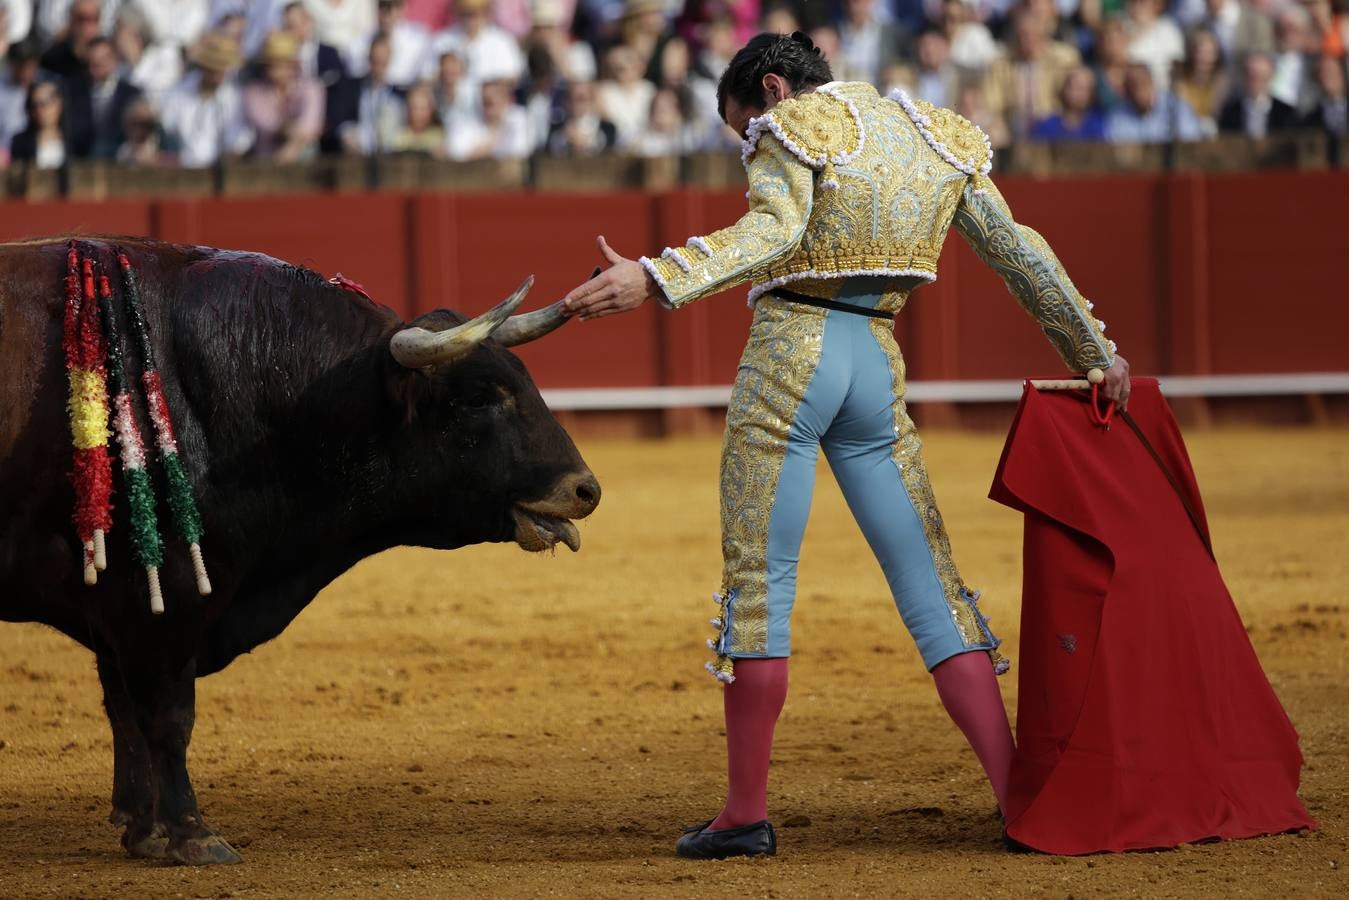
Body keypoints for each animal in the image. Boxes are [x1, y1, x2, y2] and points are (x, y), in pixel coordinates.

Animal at [0, 238, 601, 863]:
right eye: (481, 399)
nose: (586, 490)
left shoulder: (121, 610)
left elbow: (125, 709)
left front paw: (145, 832)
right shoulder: (160, 594)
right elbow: (168, 715)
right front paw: (193, 835)